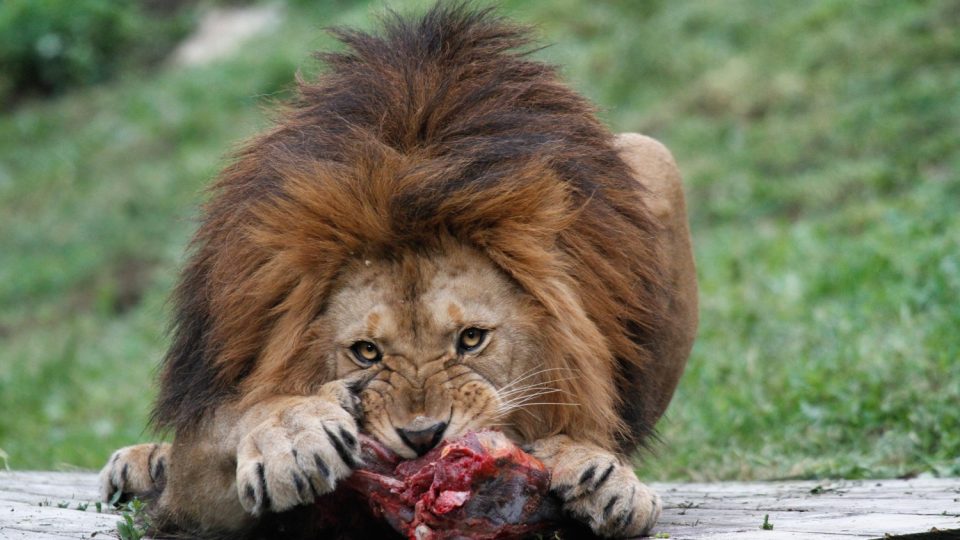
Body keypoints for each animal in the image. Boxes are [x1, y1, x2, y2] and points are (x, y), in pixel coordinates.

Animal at [97, 5, 696, 540]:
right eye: (366, 352)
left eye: (471, 339)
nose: (425, 437)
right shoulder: (195, 490)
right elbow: (238, 417)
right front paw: (292, 432)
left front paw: (598, 471)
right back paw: (143, 463)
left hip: (655, 156)